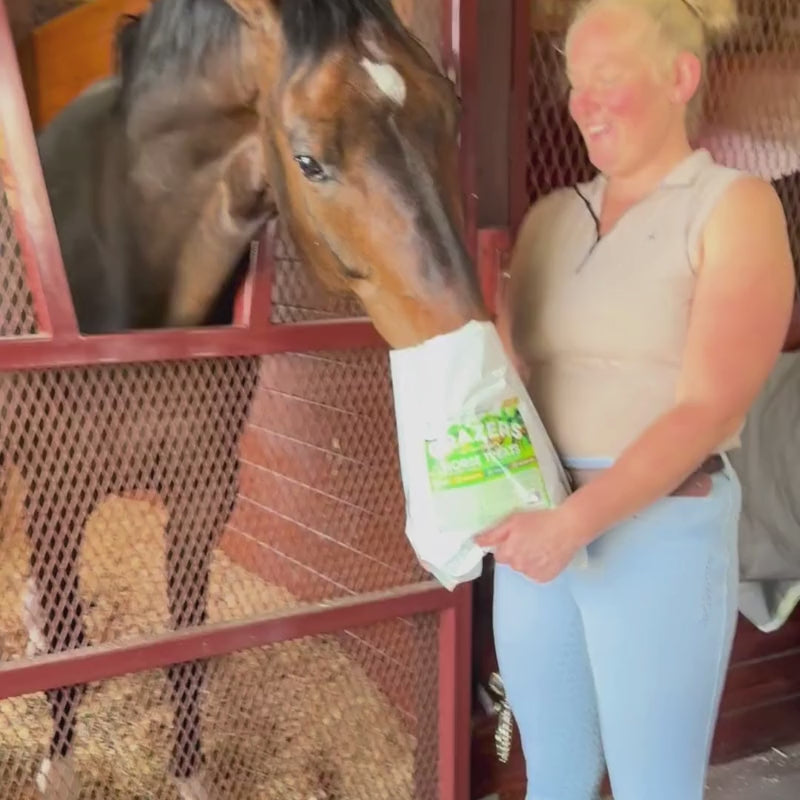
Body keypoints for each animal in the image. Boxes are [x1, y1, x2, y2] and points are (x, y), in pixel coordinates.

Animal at [4, 0, 489, 796]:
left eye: (450, 112)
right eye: (309, 159)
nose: (466, 336)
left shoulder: (204, 491)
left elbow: (187, 647)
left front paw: (192, 775)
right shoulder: (58, 490)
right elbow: (75, 648)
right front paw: (60, 770)